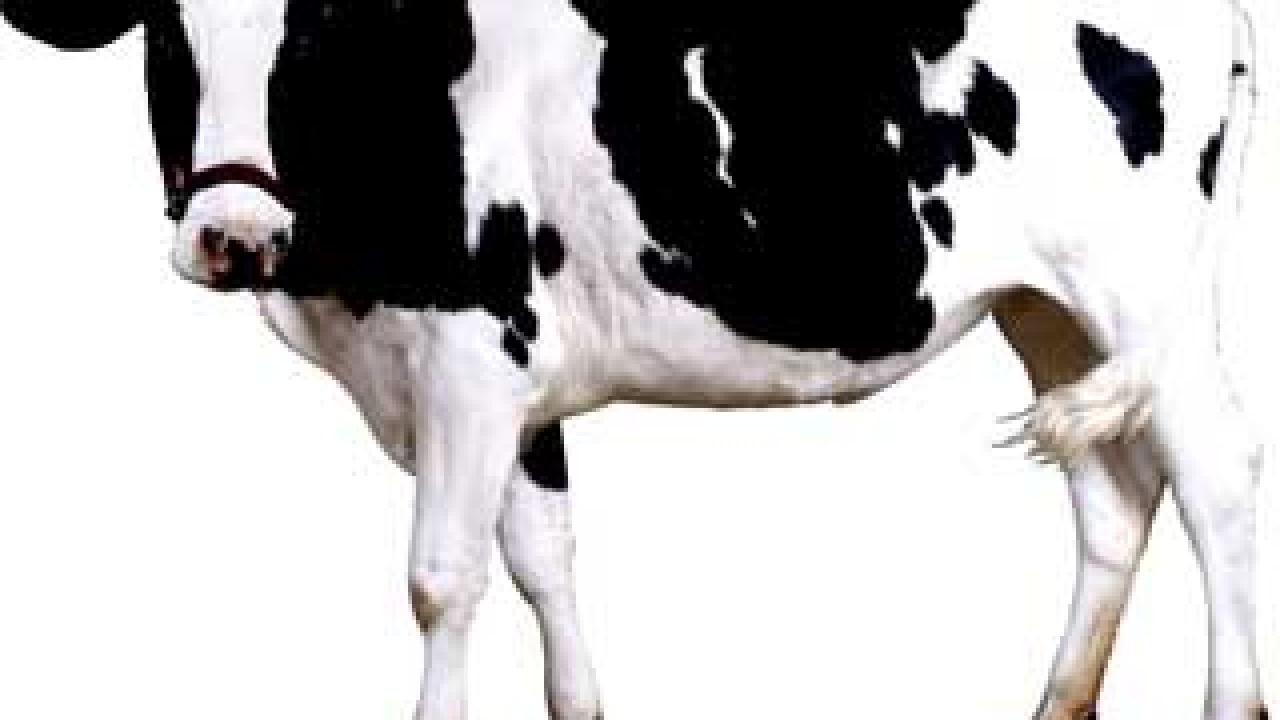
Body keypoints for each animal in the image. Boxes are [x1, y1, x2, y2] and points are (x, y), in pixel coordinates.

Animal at [0, 0, 1268, 718]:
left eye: (308, 43)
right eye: (168, 43)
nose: (234, 237)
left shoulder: (468, 361)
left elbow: (441, 579)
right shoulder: (511, 389)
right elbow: (541, 559)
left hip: (1140, 287)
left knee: (1213, 478)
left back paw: (1230, 703)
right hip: (1044, 307)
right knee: (1112, 494)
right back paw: (1056, 702)